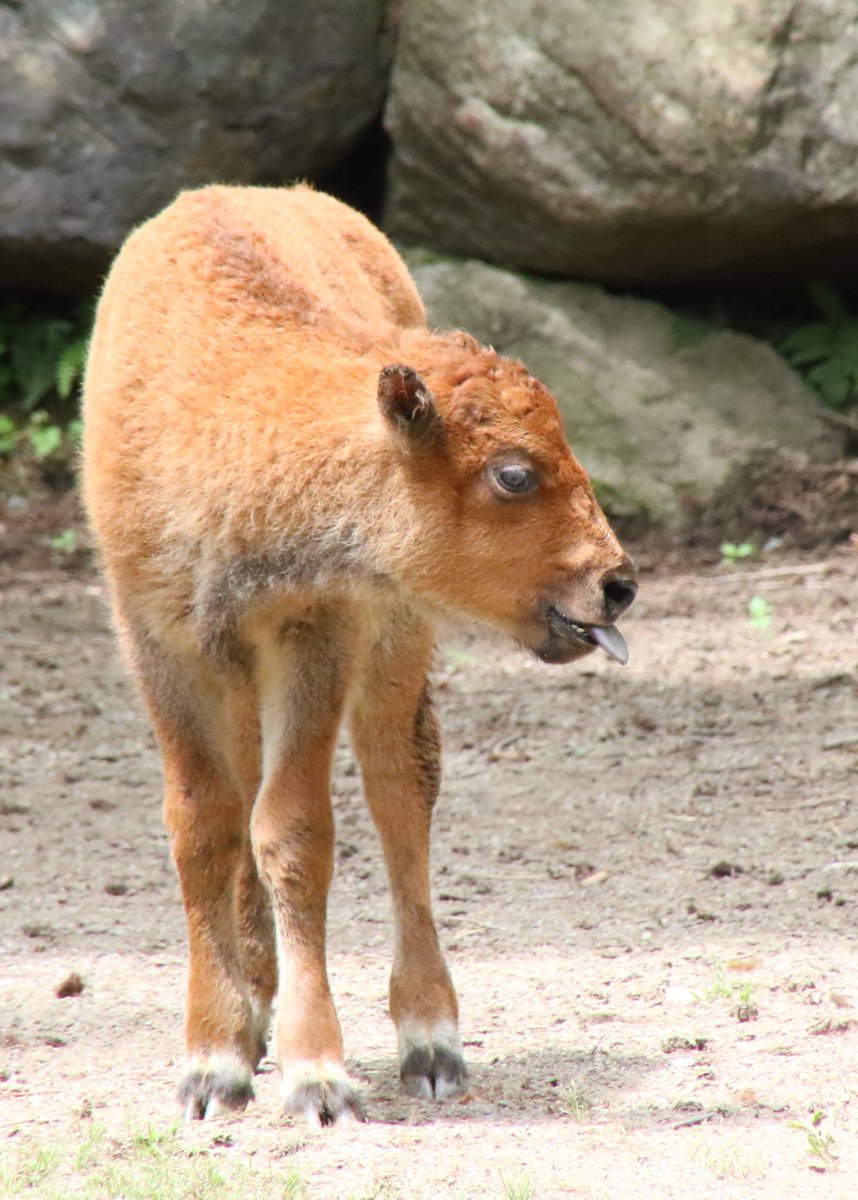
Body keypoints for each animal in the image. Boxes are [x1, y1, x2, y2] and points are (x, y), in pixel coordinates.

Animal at [82, 184, 638, 1123]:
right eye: (513, 473)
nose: (616, 584)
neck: (231, 409)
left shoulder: (318, 631)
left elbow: (294, 831)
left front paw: (319, 1077)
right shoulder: (157, 638)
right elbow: (204, 825)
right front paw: (213, 1063)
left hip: (397, 641)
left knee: (399, 794)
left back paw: (429, 1044)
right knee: (252, 795)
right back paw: (256, 1013)